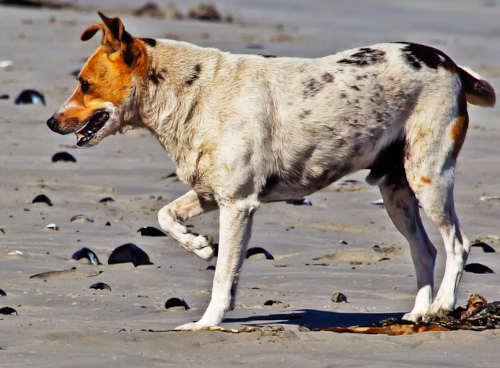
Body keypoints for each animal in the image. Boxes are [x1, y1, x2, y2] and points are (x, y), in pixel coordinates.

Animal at [47, 12, 496, 330]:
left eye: (84, 84)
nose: (51, 122)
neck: (193, 94)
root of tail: (449, 64)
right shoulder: (211, 193)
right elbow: (165, 215)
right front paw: (199, 245)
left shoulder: (238, 205)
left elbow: (222, 276)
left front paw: (206, 323)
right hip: (396, 191)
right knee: (425, 249)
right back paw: (418, 313)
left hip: (429, 177)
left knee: (457, 243)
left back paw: (442, 305)